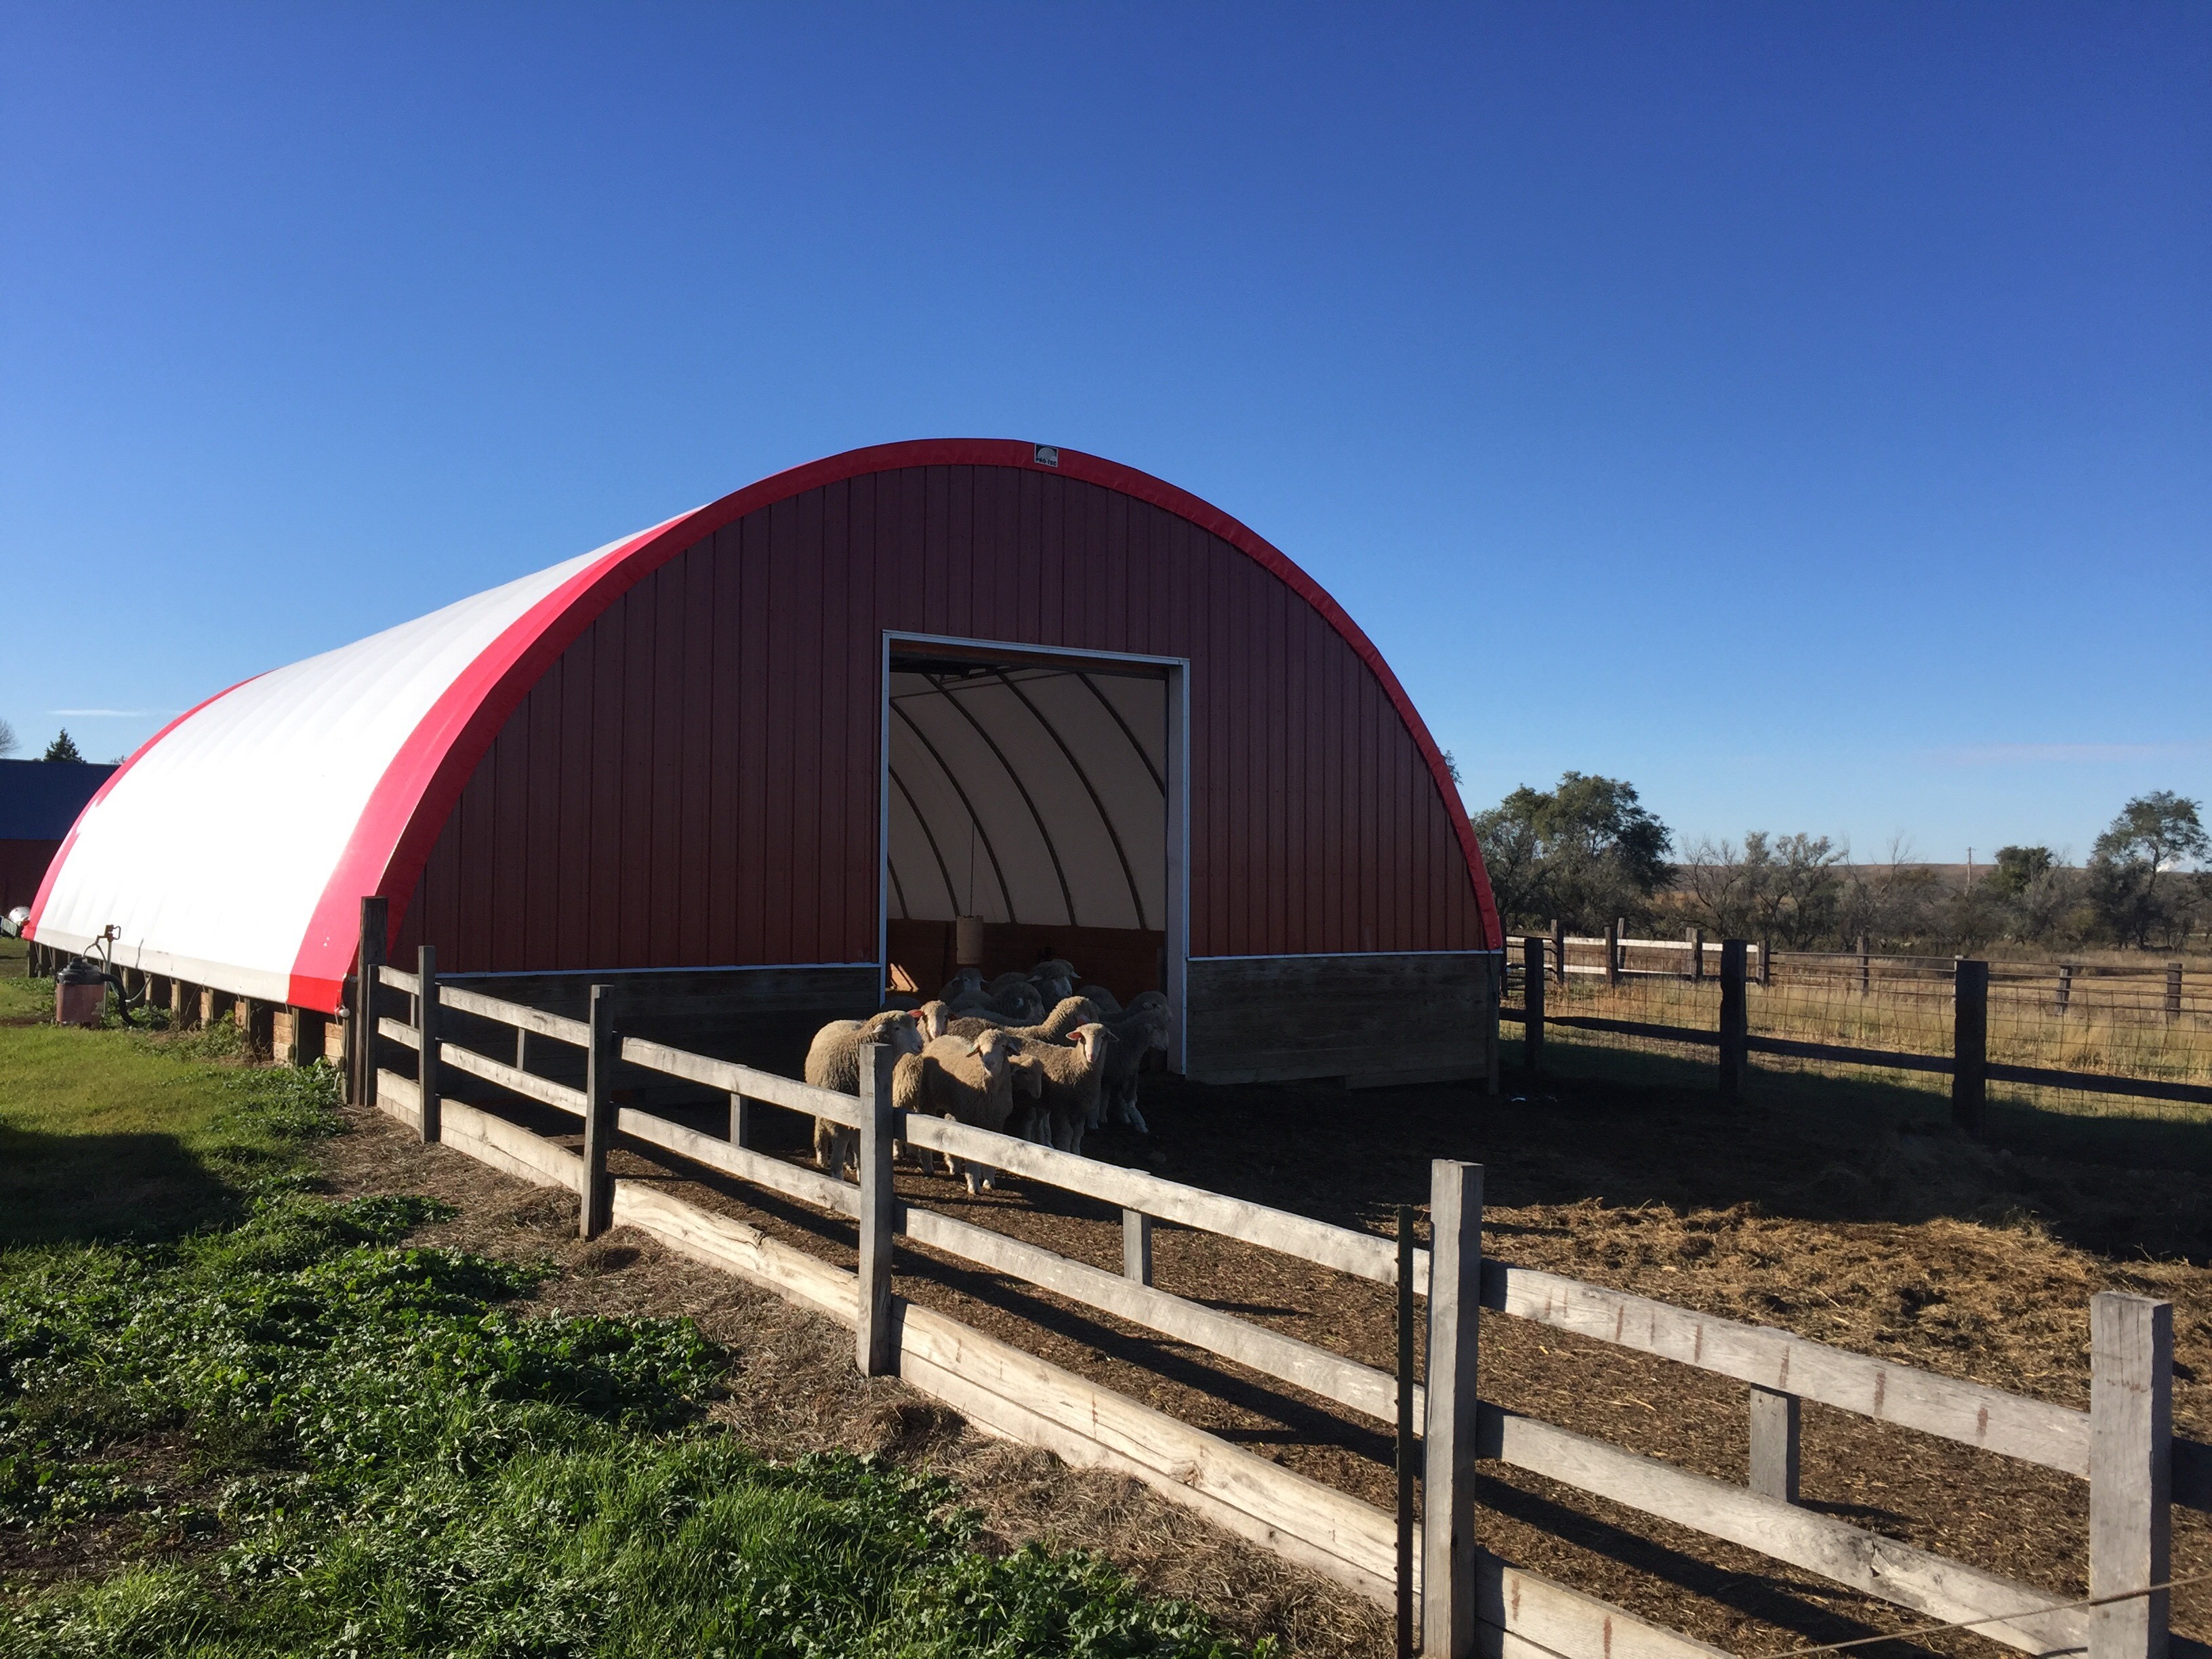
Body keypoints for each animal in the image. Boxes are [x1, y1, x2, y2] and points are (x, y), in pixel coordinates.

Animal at [805, 1008, 924, 1176]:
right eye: (897, 1028)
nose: (921, 1045)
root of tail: (841, 1020)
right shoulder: (837, 1122)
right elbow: (837, 1158)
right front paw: (837, 1177)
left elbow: (861, 1152)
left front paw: (862, 1174)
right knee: (820, 1126)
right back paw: (822, 1157)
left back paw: (851, 1162)